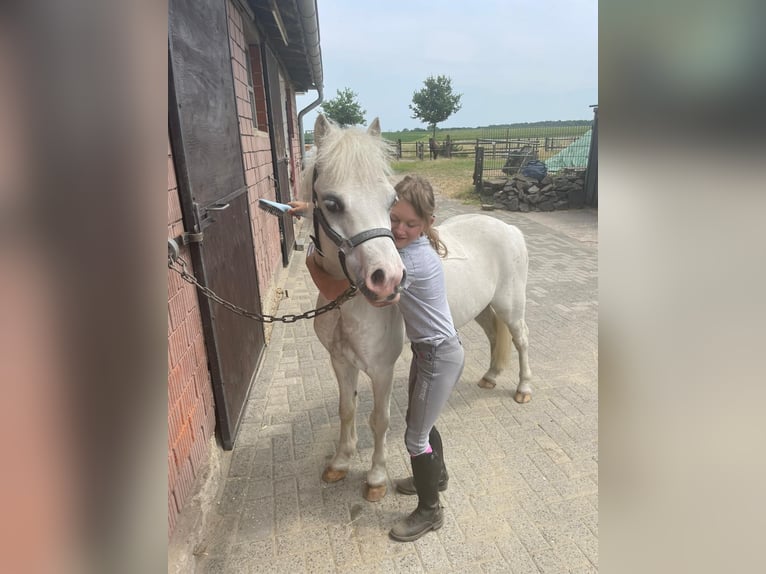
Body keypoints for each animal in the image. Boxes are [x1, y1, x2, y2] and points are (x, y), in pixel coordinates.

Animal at [306, 115, 536, 502]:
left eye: (390, 200)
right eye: (332, 203)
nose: (387, 279)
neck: (347, 303)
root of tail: (508, 227)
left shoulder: (381, 369)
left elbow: (379, 419)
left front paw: (376, 478)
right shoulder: (339, 362)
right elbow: (346, 409)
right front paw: (339, 463)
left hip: (511, 305)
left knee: (520, 340)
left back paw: (523, 389)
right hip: (482, 308)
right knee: (494, 335)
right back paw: (490, 377)